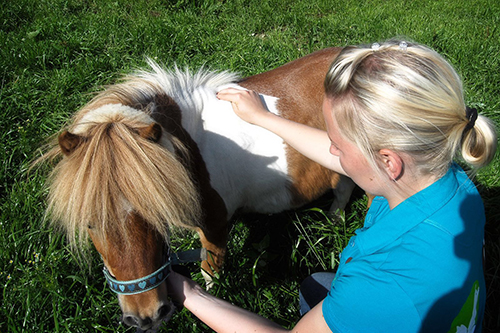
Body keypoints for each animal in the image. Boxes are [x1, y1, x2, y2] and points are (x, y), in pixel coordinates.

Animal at [42, 46, 356, 330]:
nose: (145, 317)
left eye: (156, 217)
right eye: (90, 224)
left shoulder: (215, 227)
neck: (190, 149)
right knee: (343, 188)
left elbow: (210, 273)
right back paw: (333, 221)